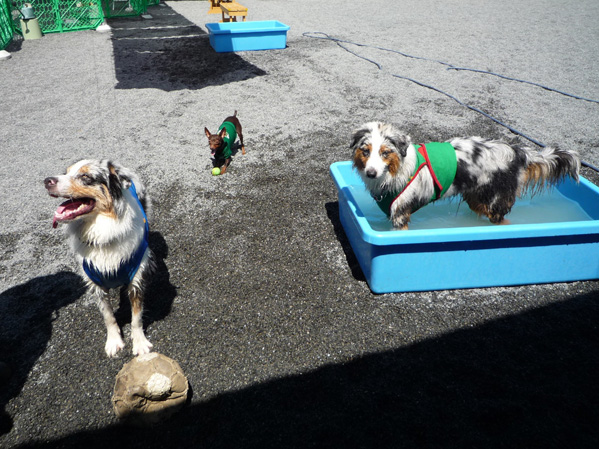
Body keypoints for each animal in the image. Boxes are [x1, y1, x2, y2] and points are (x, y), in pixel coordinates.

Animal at [44, 160, 155, 357]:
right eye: (65, 172)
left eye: (86, 176)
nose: (47, 180)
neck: (103, 232)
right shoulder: (96, 283)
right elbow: (108, 316)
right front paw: (114, 342)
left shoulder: (137, 279)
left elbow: (136, 317)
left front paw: (140, 343)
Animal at [351, 122, 581, 230]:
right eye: (365, 151)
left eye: (385, 152)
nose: (371, 173)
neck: (395, 173)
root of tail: (517, 152)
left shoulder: (400, 214)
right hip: (476, 198)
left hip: (496, 201)